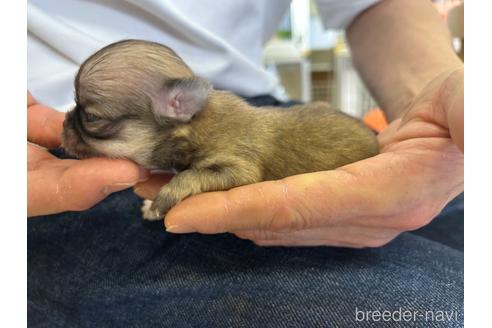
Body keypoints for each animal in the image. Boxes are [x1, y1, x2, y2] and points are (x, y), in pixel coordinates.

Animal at [60, 40, 376, 220]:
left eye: (91, 117)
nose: (63, 123)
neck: (195, 123)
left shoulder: (236, 168)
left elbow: (188, 176)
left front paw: (162, 199)